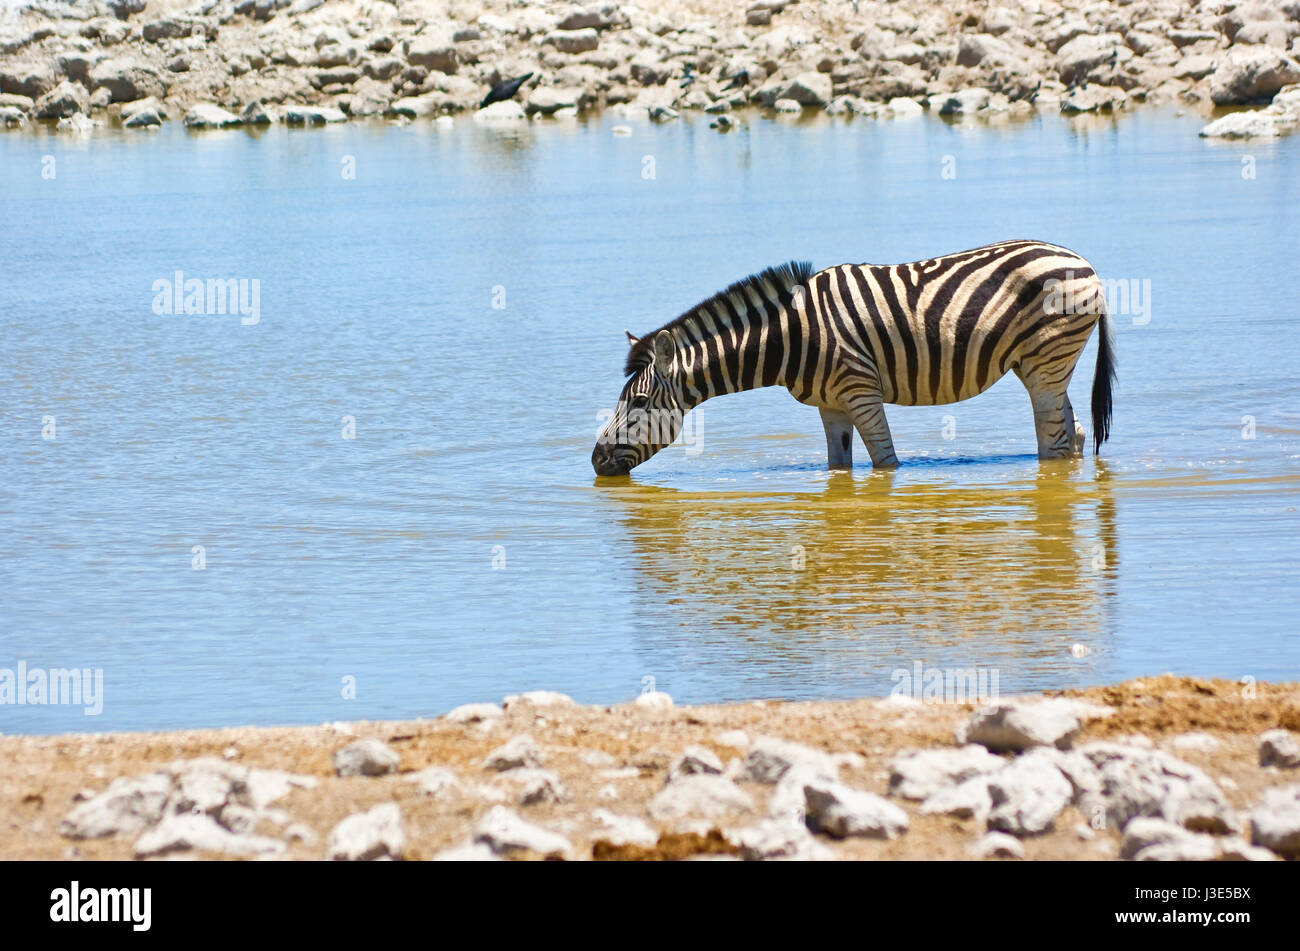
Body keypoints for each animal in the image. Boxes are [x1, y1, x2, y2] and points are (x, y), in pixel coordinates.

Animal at [595, 237, 1112, 475]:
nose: (596, 461)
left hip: (1046, 361)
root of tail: (1084, 262)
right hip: (1043, 366)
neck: (791, 334)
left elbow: (886, 463)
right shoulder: (831, 405)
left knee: (1056, 444)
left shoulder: (861, 391)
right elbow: (837, 466)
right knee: (1073, 433)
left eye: (638, 403)